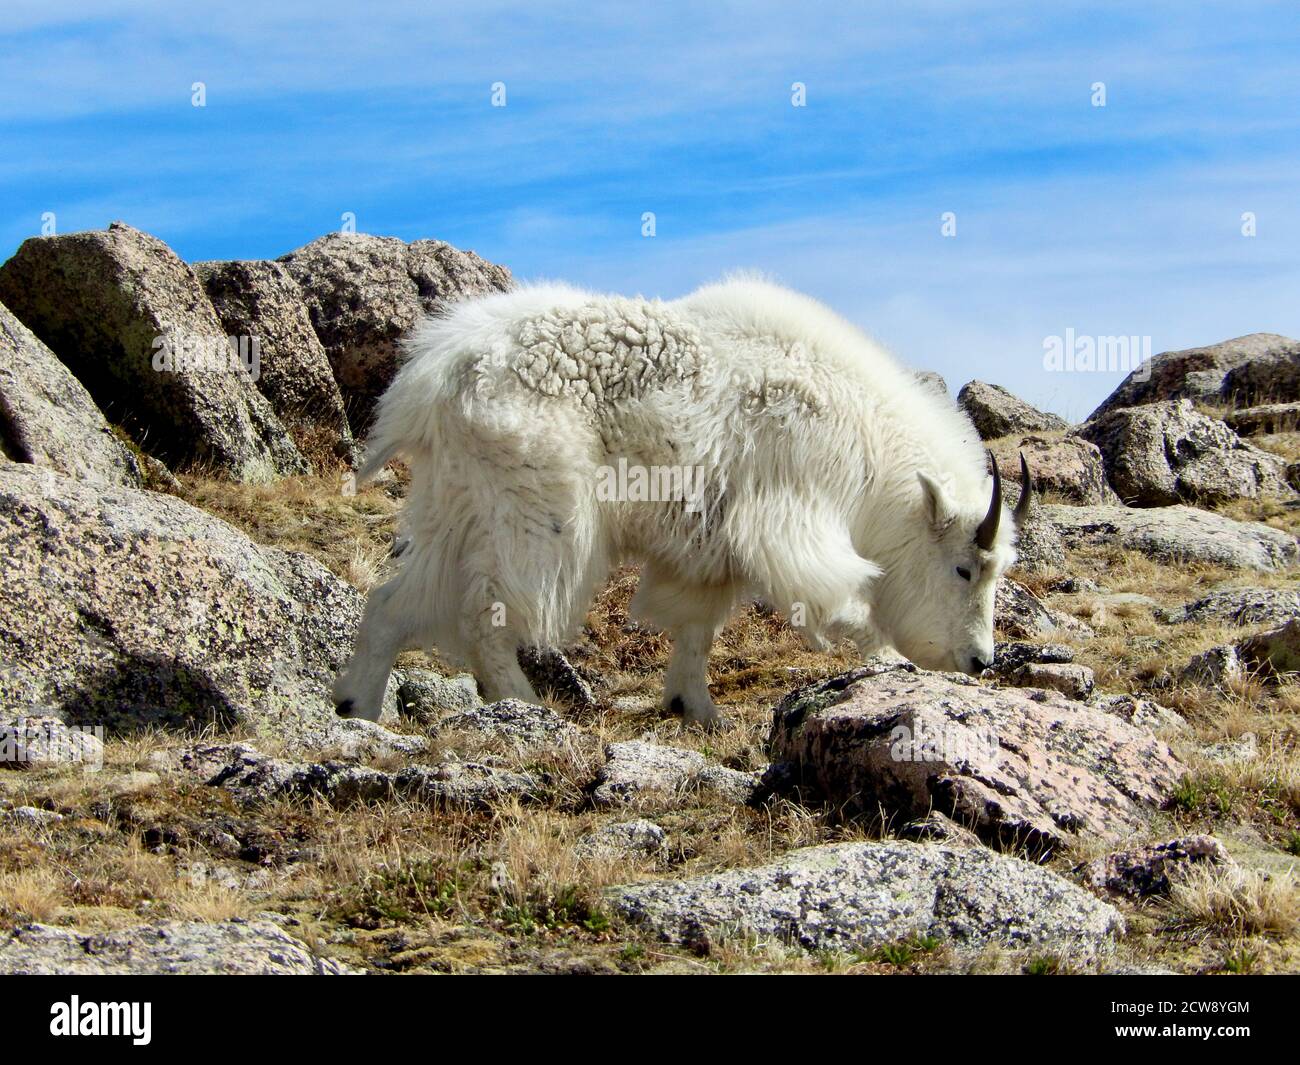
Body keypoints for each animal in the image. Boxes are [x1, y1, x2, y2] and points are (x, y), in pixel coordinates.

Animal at [332, 276, 1024, 723]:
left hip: (456, 503)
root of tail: (438, 375)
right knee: (488, 615)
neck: (867, 439)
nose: (979, 660)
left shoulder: (707, 551)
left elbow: (695, 629)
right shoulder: (791, 523)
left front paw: (697, 709)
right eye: (964, 569)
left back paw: (357, 708)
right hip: (535, 514)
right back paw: (525, 709)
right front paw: (888, 662)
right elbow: (847, 603)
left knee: (395, 602)